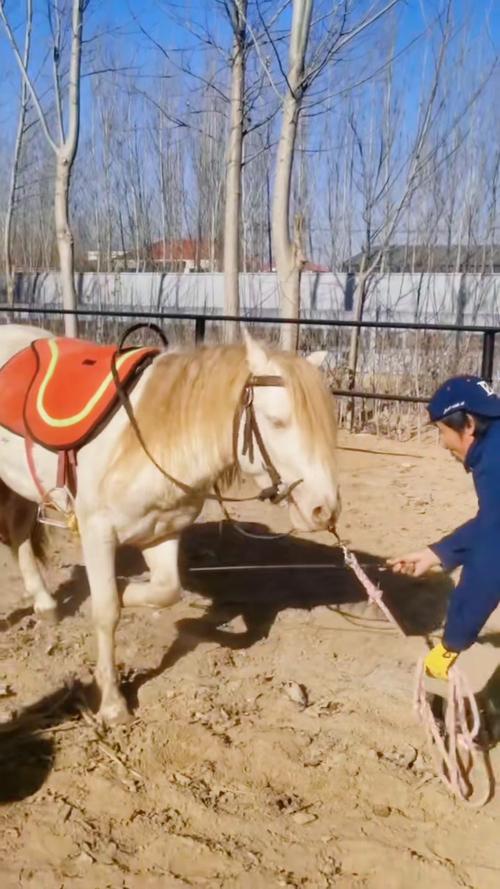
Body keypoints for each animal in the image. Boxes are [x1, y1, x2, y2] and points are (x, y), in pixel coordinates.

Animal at [0, 323, 340, 724]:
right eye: (277, 421)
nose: (325, 509)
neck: (151, 436)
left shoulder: (162, 531)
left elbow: (166, 591)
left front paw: (126, 591)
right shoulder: (96, 531)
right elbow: (106, 610)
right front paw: (112, 702)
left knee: (19, 535)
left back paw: (44, 604)